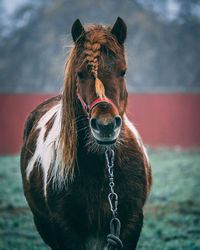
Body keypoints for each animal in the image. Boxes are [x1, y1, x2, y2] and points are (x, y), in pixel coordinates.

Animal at [20, 17, 152, 250]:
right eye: (80, 73)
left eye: (123, 71)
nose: (105, 125)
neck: (103, 167)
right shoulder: (64, 230)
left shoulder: (130, 224)